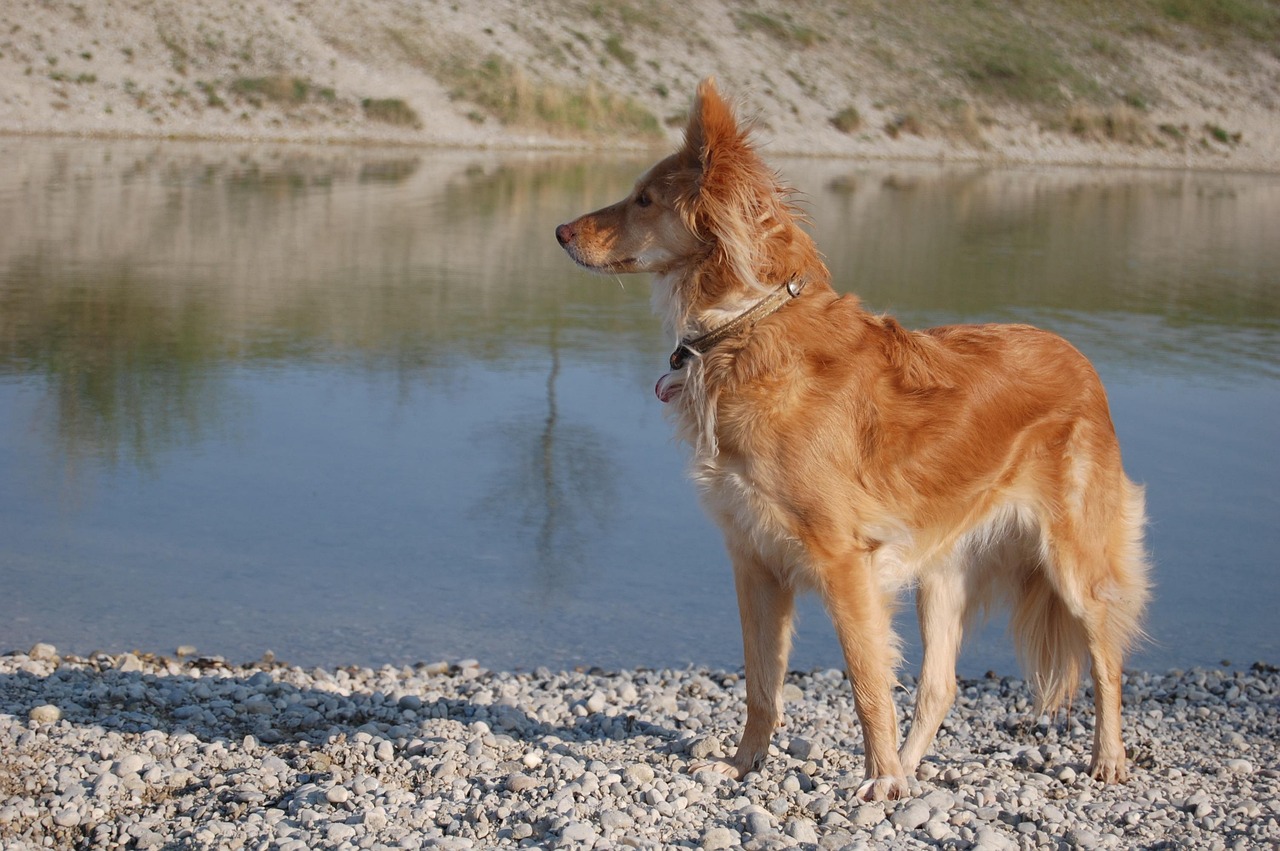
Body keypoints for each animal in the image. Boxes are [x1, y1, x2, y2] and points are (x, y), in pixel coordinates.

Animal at [555, 78, 1157, 798]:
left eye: (644, 199)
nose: (559, 231)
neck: (745, 329)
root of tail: (1080, 361)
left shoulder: (844, 562)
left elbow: (867, 681)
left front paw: (880, 781)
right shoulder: (754, 561)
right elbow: (761, 684)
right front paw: (744, 764)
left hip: (1073, 560)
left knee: (1107, 658)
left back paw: (1106, 757)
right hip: (943, 572)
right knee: (940, 686)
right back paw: (915, 768)